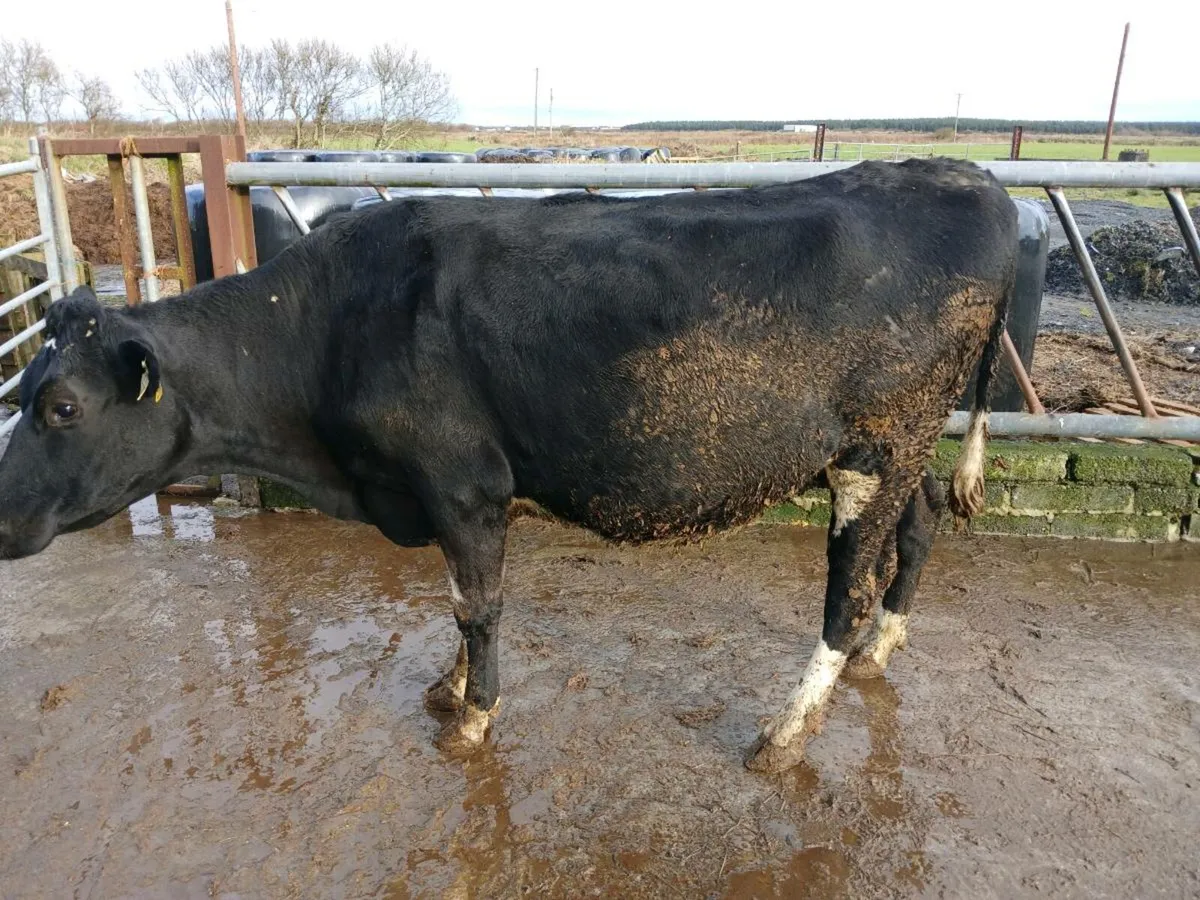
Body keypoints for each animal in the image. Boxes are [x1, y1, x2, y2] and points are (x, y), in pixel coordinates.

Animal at [0, 158, 1016, 773]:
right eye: (23, 390)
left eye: (61, 407)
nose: (2, 517)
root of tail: (963, 176)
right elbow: (458, 604)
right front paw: (448, 688)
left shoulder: (463, 484)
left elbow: (476, 607)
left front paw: (474, 716)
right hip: (891, 448)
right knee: (922, 518)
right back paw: (884, 646)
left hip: (878, 444)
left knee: (844, 593)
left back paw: (787, 730)